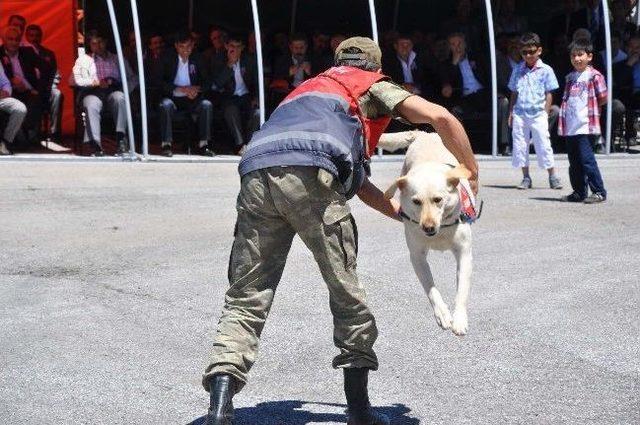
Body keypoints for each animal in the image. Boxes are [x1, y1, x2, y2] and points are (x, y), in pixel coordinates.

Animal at [380, 131, 476, 336]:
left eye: (438, 199)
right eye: (416, 201)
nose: (428, 228)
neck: (441, 230)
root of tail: (424, 134)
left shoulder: (464, 254)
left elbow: (462, 291)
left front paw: (459, 319)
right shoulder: (417, 256)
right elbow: (431, 289)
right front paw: (443, 314)